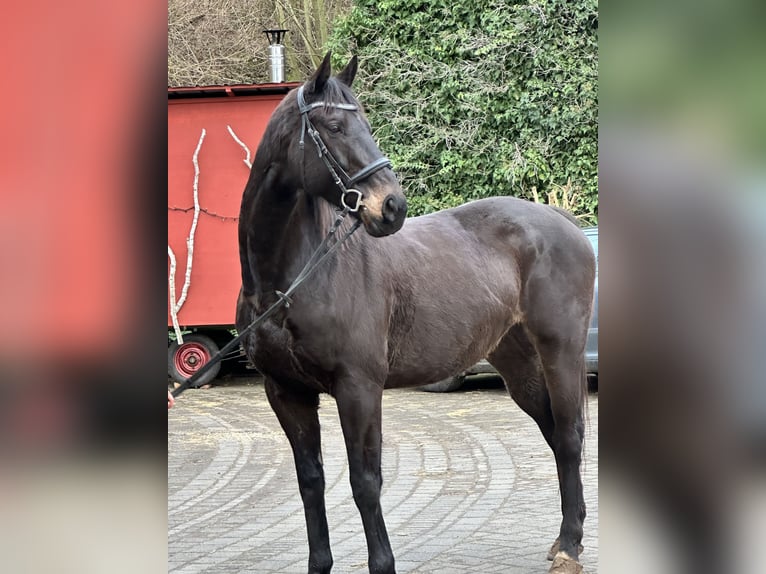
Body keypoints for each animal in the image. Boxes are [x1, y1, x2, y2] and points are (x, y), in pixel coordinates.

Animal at [236, 52, 595, 574]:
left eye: (366, 122)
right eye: (334, 125)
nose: (392, 207)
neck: (293, 277)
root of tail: (562, 220)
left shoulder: (359, 388)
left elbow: (365, 482)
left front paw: (382, 564)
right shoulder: (286, 392)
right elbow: (311, 481)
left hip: (560, 349)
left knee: (569, 436)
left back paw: (568, 546)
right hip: (517, 360)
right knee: (552, 430)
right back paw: (569, 537)